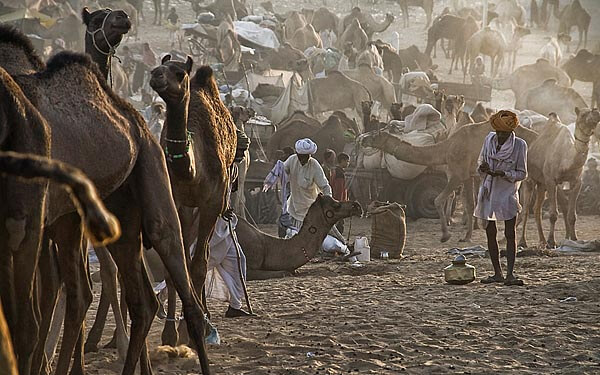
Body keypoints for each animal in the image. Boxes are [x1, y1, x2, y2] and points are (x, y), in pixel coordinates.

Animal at [0, 16, 211, 375]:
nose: (123, 18)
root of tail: (132, 115)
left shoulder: (30, 228)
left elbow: (30, 318)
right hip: (109, 214)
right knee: (133, 299)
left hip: (150, 176)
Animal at [358, 120, 536, 244]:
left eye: (374, 135)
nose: (361, 139)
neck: (445, 150)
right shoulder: (467, 175)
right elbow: (470, 204)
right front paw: (467, 236)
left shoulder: (457, 173)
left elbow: (438, 199)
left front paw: (445, 235)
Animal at [516, 108, 600, 250]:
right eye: (583, 114)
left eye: (593, 110)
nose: (596, 112)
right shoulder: (551, 181)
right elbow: (553, 214)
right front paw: (552, 241)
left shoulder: (576, 182)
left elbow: (572, 215)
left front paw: (574, 239)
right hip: (529, 179)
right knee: (526, 209)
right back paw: (523, 242)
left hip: (542, 184)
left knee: (537, 209)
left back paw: (542, 241)